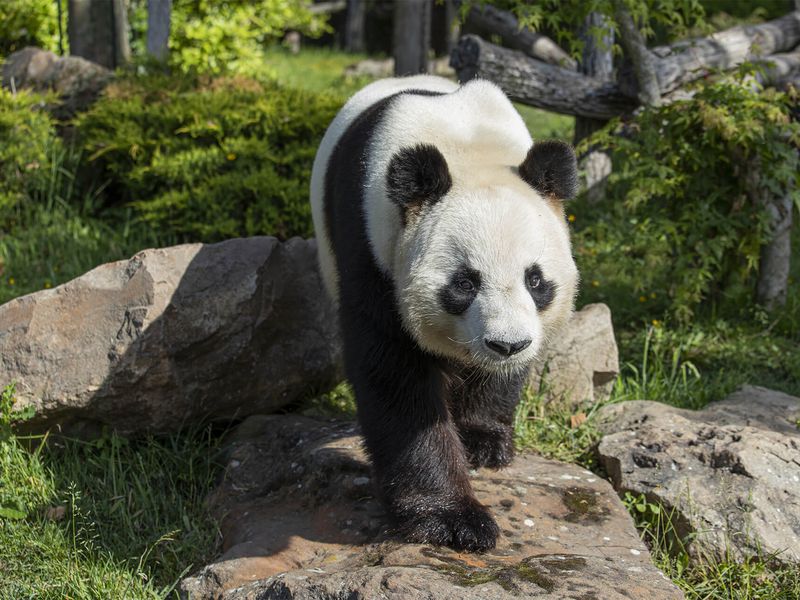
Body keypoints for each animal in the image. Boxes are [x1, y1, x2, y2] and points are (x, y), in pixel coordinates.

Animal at [310, 75, 579, 552]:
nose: (507, 345)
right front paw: (454, 519)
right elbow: (395, 377)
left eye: (535, 279)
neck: (467, 144)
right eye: (464, 283)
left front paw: (484, 442)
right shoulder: (374, 248)